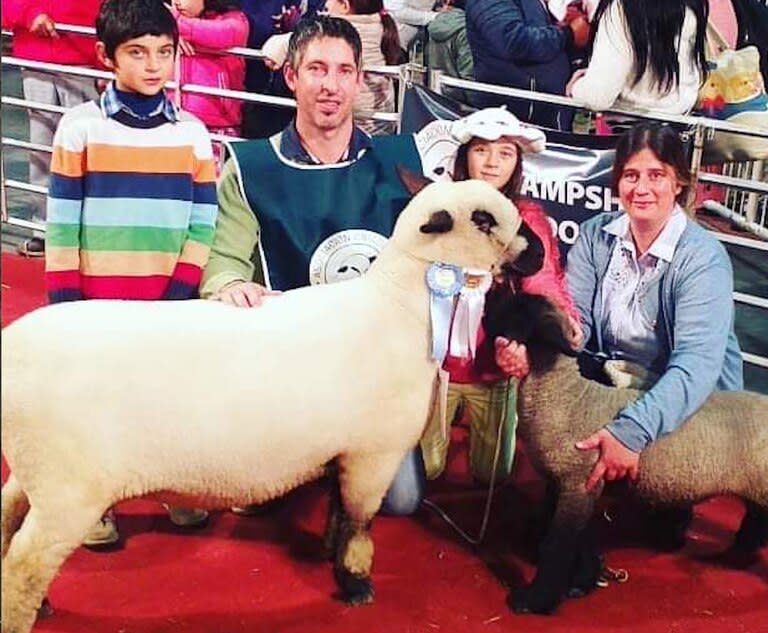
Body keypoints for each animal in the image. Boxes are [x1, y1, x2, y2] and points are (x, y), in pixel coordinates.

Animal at [1, 174, 540, 633]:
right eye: (485, 220)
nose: (537, 253)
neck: (398, 308)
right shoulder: (374, 453)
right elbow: (361, 523)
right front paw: (356, 583)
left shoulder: (343, 450)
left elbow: (338, 510)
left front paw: (330, 556)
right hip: (68, 488)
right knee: (24, 565)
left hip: (36, 470)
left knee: (8, 519)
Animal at [484, 294, 764, 616]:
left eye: (519, 308)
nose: (487, 305)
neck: (567, 398)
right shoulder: (577, 483)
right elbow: (581, 538)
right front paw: (582, 582)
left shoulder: (578, 482)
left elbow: (558, 544)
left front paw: (535, 600)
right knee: (756, 521)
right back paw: (736, 557)